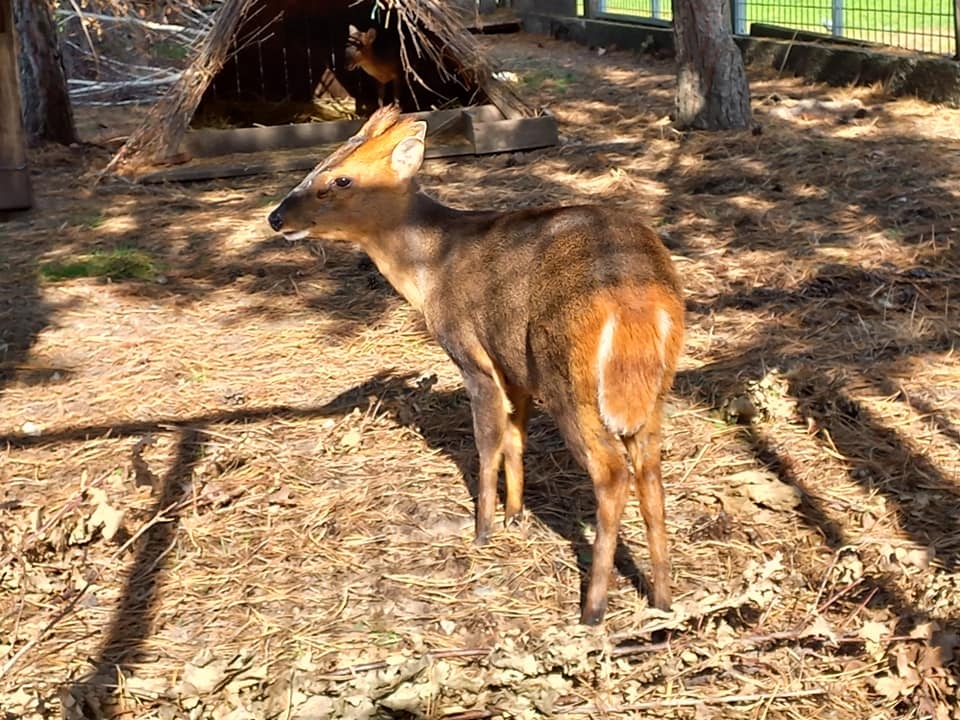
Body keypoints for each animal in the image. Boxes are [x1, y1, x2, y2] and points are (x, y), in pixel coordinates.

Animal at [268, 105, 684, 624]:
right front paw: (514, 514)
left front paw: (483, 528)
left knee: (612, 473)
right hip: (651, 394)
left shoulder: (474, 357)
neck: (431, 266)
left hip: (570, 382)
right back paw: (663, 598)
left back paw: (593, 607)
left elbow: (487, 442)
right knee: (650, 473)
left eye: (339, 179)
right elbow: (516, 437)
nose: (276, 217)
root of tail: (637, 300)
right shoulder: (515, 367)